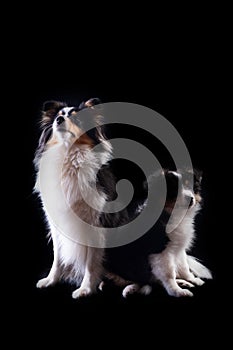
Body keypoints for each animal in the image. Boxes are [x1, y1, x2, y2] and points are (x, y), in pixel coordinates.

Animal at [33, 98, 115, 298]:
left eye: (76, 118)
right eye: (59, 115)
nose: (59, 120)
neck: (67, 153)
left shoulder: (95, 224)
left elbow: (91, 263)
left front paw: (85, 289)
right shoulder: (56, 224)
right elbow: (57, 257)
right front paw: (51, 280)